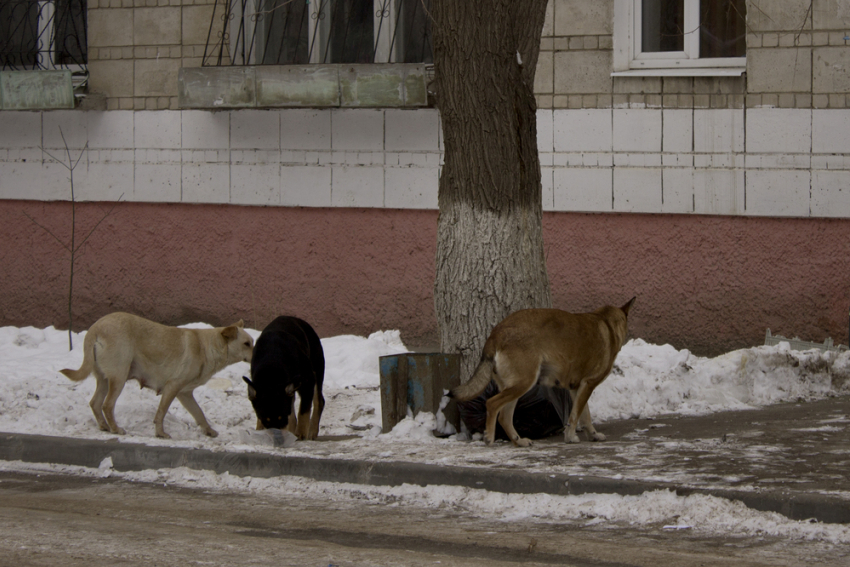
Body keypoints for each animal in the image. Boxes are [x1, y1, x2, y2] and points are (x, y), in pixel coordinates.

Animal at [59, 316, 253, 440]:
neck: (208, 347)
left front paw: (209, 431)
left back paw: (104, 426)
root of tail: (95, 328)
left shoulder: (185, 394)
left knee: (95, 403)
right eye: (247, 344)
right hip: (119, 377)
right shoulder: (172, 387)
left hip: (105, 380)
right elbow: (161, 413)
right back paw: (115, 429)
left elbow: (199, 413)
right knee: (107, 405)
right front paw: (160, 433)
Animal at [454, 300, 632, 446]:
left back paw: (519, 441)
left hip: (516, 386)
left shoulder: (577, 388)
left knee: (504, 416)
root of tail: (496, 334)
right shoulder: (588, 384)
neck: (606, 322)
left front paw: (592, 435)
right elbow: (576, 415)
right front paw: (570, 437)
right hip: (524, 383)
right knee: (492, 404)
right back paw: (489, 438)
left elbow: (584, 416)